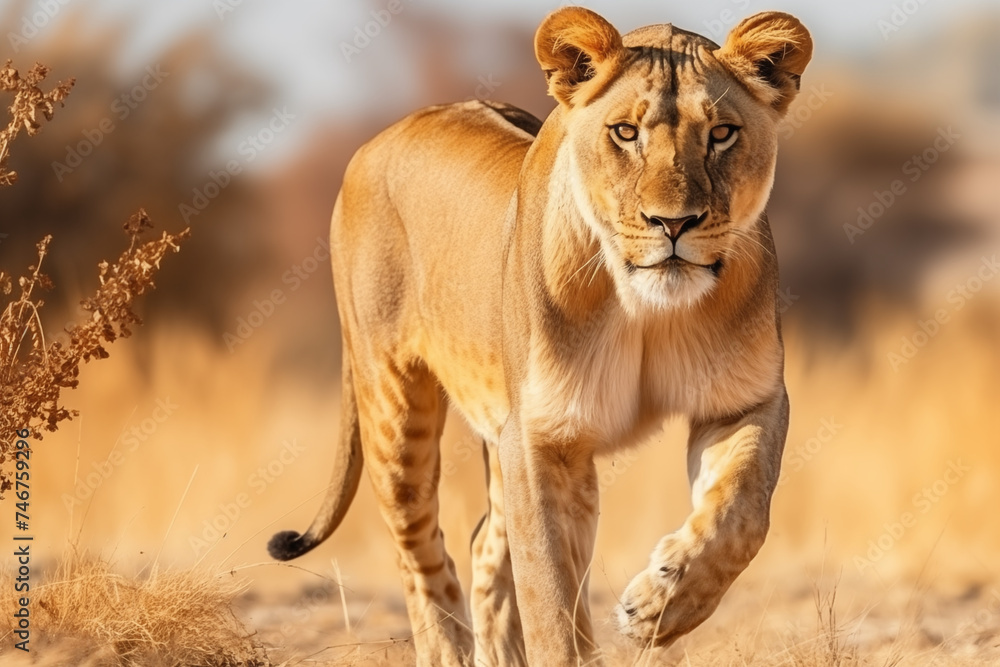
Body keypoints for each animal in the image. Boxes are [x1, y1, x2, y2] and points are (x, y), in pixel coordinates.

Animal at [268, 7, 812, 666]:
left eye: (723, 134)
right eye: (625, 133)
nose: (673, 223)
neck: (644, 309)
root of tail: (383, 135)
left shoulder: (744, 401)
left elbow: (743, 512)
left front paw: (660, 605)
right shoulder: (541, 438)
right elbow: (550, 597)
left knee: (483, 545)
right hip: (394, 410)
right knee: (421, 556)